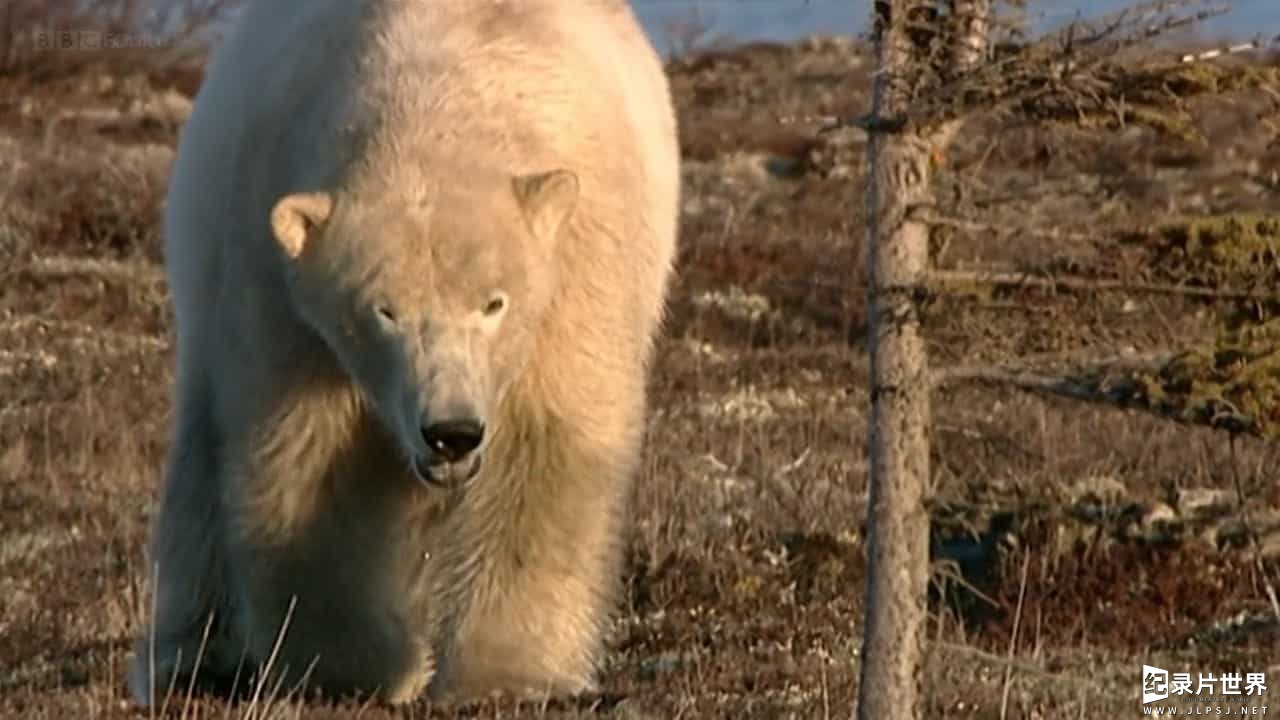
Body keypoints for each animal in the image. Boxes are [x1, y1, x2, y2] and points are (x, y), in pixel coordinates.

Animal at [132, 0, 680, 707]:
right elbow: (309, 459)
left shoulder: (577, 267)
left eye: (494, 304)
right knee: (201, 462)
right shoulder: (282, 286)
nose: (451, 432)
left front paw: (503, 675)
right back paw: (192, 659)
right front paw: (349, 665)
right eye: (384, 310)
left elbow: (543, 447)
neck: (442, 95)